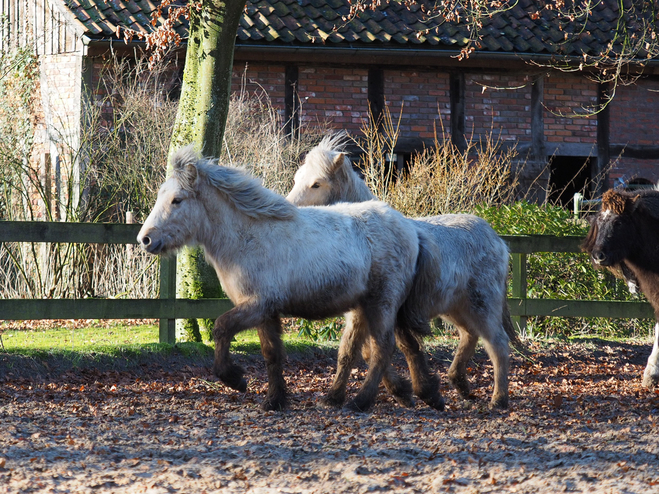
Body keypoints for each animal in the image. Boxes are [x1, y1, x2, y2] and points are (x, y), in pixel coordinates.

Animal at [139, 147, 436, 412]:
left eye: (177, 200)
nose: (145, 239)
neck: (247, 238)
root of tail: (408, 227)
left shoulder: (257, 305)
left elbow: (221, 328)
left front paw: (235, 379)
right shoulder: (265, 311)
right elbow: (272, 354)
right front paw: (275, 400)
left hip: (382, 303)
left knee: (383, 349)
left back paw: (362, 401)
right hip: (364, 307)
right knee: (362, 350)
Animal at [286, 132, 520, 410]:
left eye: (316, 184)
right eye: (297, 179)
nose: (287, 208)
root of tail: (497, 240)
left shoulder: (385, 310)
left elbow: (395, 348)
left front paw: (413, 390)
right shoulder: (360, 311)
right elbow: (357, 351)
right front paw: (409, 390)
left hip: (482, 305)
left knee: (497, 345)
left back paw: (498, 399)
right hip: (456, 308)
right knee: (469, 335)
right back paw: (460, 384)